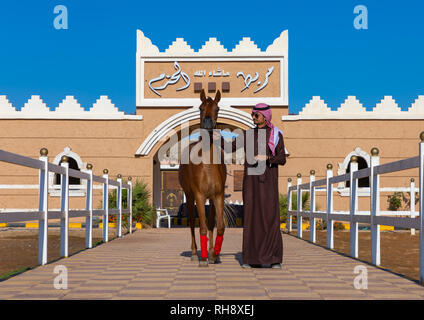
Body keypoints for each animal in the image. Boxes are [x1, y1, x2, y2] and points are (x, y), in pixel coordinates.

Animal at [178, 89, 227, 266]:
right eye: (200, 108)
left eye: (217, 108)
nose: (207, 123)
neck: (207, 166)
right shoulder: (199, 196)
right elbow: (203, 227)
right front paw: (204, 258)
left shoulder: (218, 196)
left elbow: (218, 226)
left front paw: (214, 254)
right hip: (190, 196)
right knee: (193, 222)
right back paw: (194, 253)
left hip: (210, 199)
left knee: (211, 222)